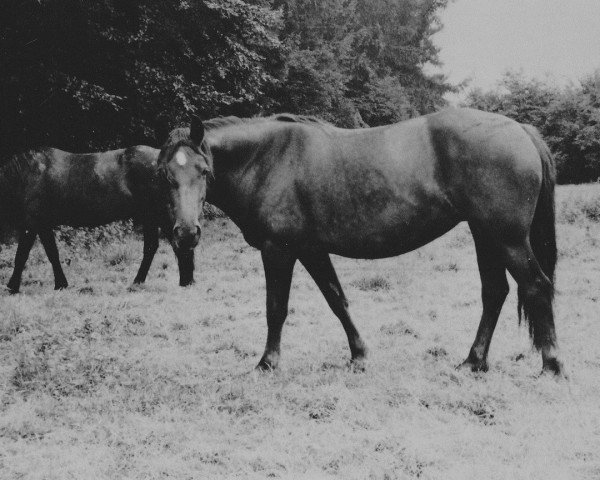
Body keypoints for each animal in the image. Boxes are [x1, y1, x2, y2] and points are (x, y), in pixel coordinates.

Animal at [0, 145, 197, 292]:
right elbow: (53, 254)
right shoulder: (43, 225)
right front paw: (61, 284)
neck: (25, 175)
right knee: (155, 246)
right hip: (150, 217)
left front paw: (12, 286)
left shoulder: (31, 224)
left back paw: (184, 280)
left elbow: (21, 256)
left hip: (157, 215)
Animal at [158, 108, 564, 376]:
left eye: (204, 171)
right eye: (165, 175)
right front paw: (359, 355)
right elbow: (337, 300)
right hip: (486, 236)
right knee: (495, 292)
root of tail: (521, 129)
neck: (269, 159)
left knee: (536, 285)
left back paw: (552, 365)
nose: (186, 233)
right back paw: (474, 361)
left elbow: (276, 308)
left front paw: (267, 363)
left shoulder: (279, 251)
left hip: (507, 239)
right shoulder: (311, 250)